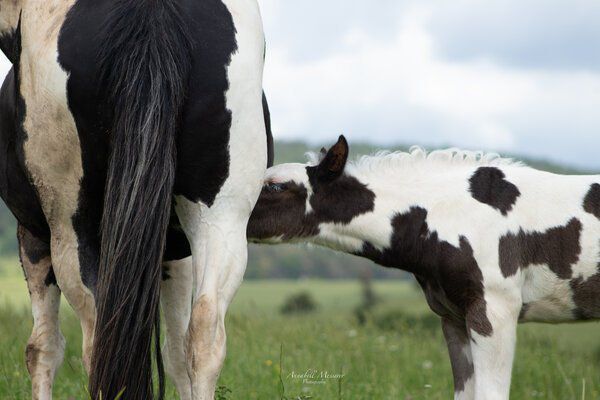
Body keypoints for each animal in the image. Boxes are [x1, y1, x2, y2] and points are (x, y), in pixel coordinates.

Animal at [0, 0, 270, 400]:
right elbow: (177, 352)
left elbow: (42, 348)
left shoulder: (32, 236)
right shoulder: (176, 253)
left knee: (98, 340)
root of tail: (153, 12)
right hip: (223, 218)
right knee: (205, 331)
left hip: (72, 229)